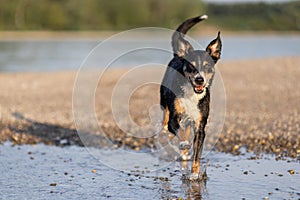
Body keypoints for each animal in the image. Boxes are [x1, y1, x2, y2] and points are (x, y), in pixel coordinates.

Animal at [161, 14, 221, 180]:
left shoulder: (200, 127)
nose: (199, 79)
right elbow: (180, 132)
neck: (191, 94)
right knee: (166, 118)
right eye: (191, 66)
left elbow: (197, 154)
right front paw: (183, 144)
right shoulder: (175, 118)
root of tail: (178, 55)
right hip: (164, 99)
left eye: (207, 66)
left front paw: (194, 174)